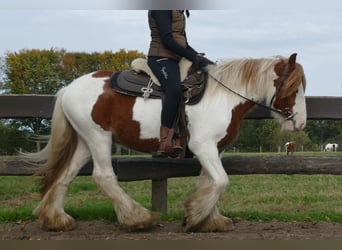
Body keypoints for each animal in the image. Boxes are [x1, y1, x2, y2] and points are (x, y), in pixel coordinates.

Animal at [26, 52, 308, 232]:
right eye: (294, 89)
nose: (300, 123)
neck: (223, 96)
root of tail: (67, 89)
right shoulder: (202, 146)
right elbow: (220, 181)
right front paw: (195, 217)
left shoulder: (215, 149)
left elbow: (210, 181)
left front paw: (210, 220)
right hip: (99, 138)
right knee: (104, 176)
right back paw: (138, 218)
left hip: (86, 142)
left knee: (66, 175)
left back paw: (56, 219)